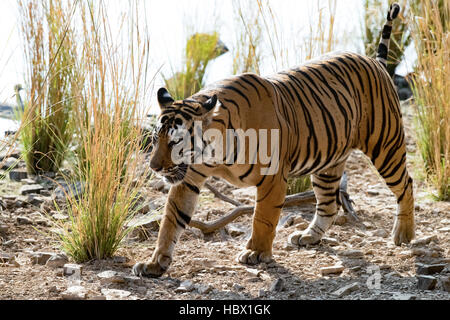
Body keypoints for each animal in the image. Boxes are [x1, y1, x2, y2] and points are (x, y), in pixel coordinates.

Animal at [132, 2, 414, 278]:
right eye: (155, 139)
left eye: (176, 141)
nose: (154, 167)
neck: (216, 153)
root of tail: (375, 61)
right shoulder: (188, 178)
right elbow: (171, 221)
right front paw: (155, 263)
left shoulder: (272, 177)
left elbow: (263, 217)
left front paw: (255, 252)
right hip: (328, 164)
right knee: (329, 203)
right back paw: (309, 236)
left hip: (385, 145)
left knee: (406, 184)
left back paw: (403, 234)